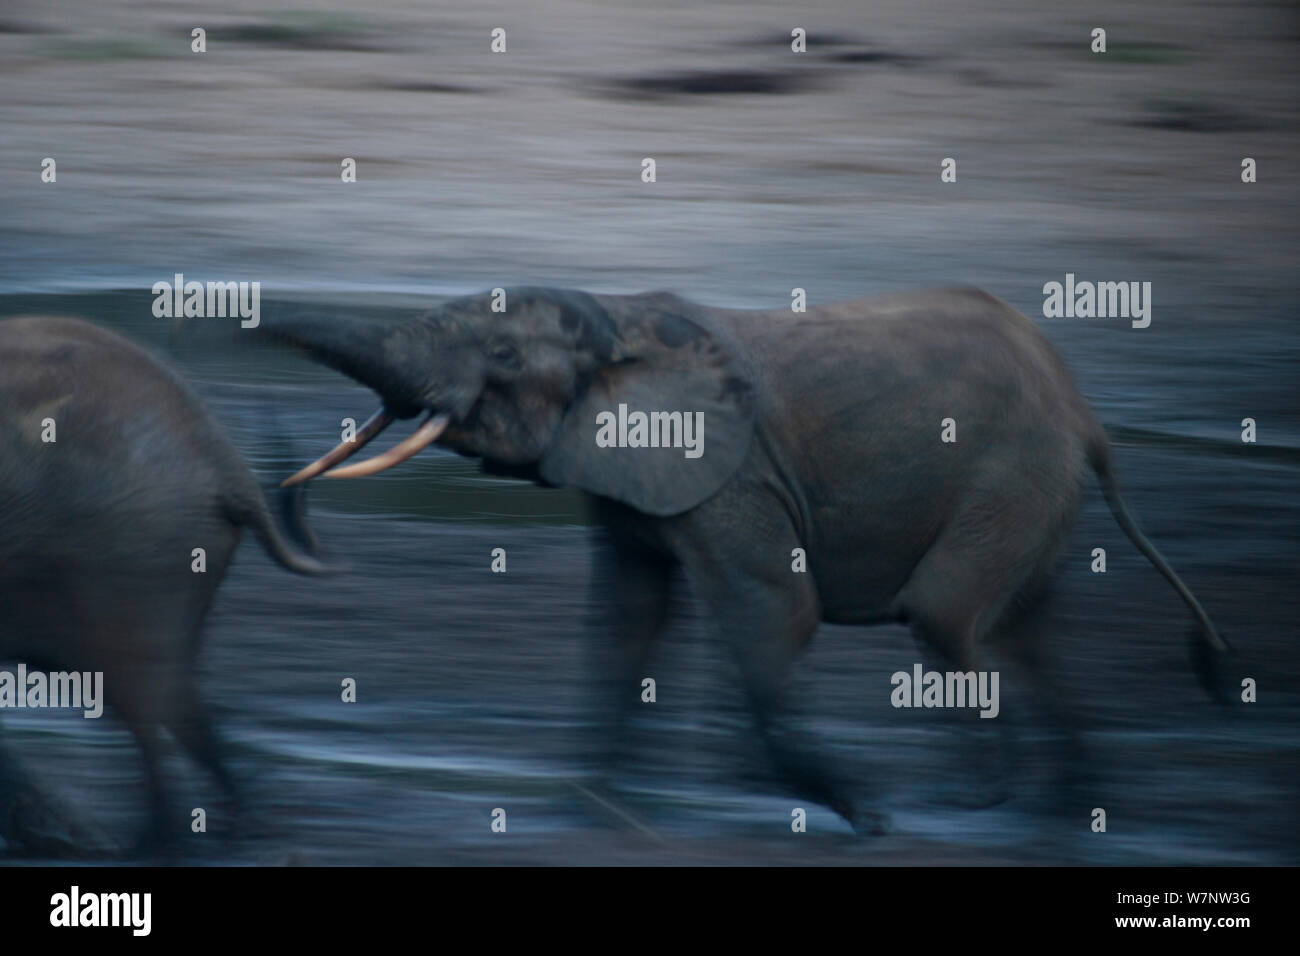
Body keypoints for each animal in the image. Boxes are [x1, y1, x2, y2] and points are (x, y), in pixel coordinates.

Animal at [266, 283, 1227, 832]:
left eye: (501, 355)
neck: (617, 314)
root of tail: (1084, 410)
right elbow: (627, 617)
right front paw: (593, 810)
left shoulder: (733, 473)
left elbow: (773, 613)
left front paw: (865, 814)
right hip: (1030, 493)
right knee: (1031, 631)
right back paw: (1075, 810)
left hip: (1010, 478)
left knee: (948, 621)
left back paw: (973, 805)